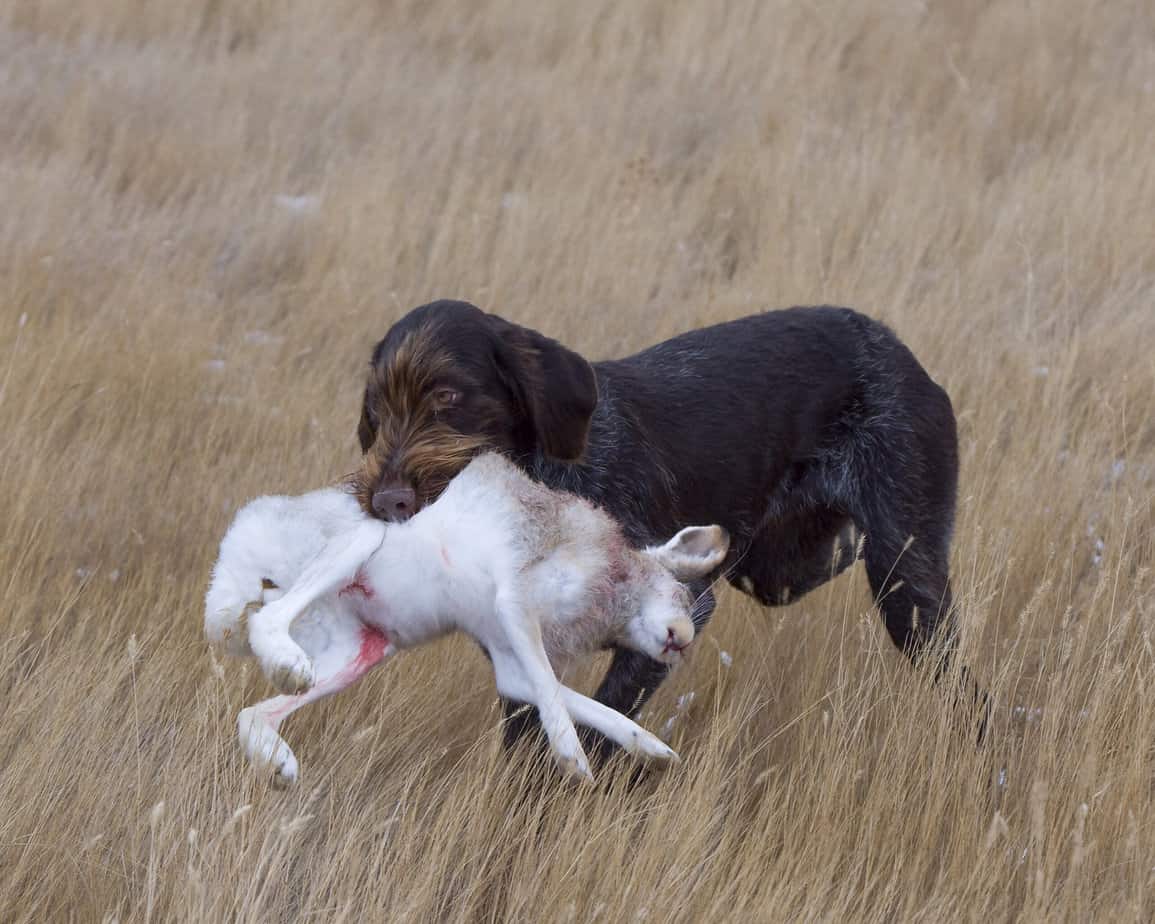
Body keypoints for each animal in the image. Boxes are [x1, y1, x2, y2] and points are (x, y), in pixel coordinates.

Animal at [206, 450, 725, 785]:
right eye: (679, 591)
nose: (681, 638)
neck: (619, 584)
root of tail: (236, 557)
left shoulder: (509, 657)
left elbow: (575, 700)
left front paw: (657, 752)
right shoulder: (516, 606)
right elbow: (551, 688)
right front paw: (574, 761)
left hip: (359, 652)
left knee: (254, 711)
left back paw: (280, 765)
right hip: (359, 543)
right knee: (267, 620)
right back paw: (286, 665)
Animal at [355, 300, 988, 748]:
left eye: (448, 395)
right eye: (377, 410)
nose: (387, 501)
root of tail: (891, 345)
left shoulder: (681, 607)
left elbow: (606, 722)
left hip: (905, 585)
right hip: (782, 570)